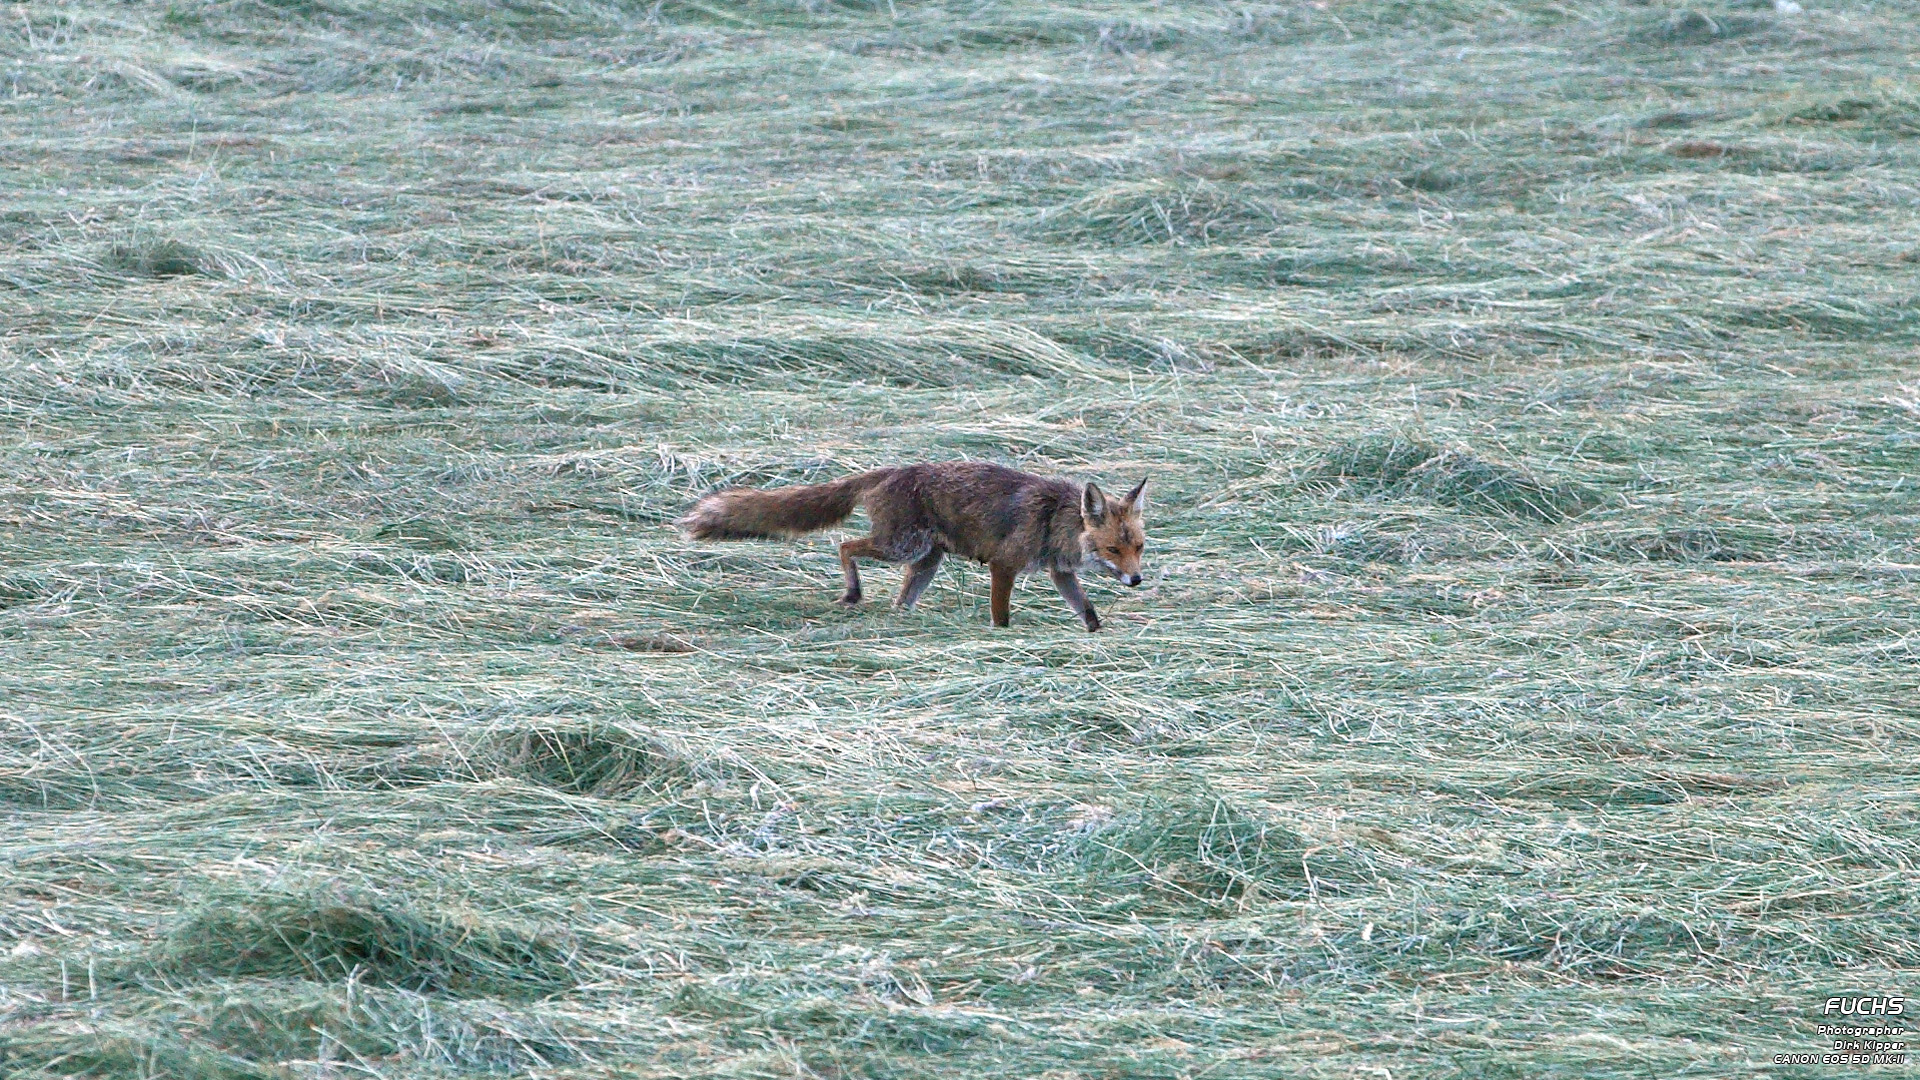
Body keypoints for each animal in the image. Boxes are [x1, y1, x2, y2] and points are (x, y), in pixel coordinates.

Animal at [676, 462, 1147, 631]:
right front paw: (1001, 638)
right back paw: (852, 593)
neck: (1054, 522)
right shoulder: (1004, 565)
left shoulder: (1059, 571)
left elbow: (1087, 609)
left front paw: (1097, 635)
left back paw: (898, 619)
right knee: (845, 544)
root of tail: (887, 470)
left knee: (899, 599)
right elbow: (1001, 615)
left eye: (1139, 547)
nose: (1138, 580)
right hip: (902, 546)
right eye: (1113, 550)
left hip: (925, 562)